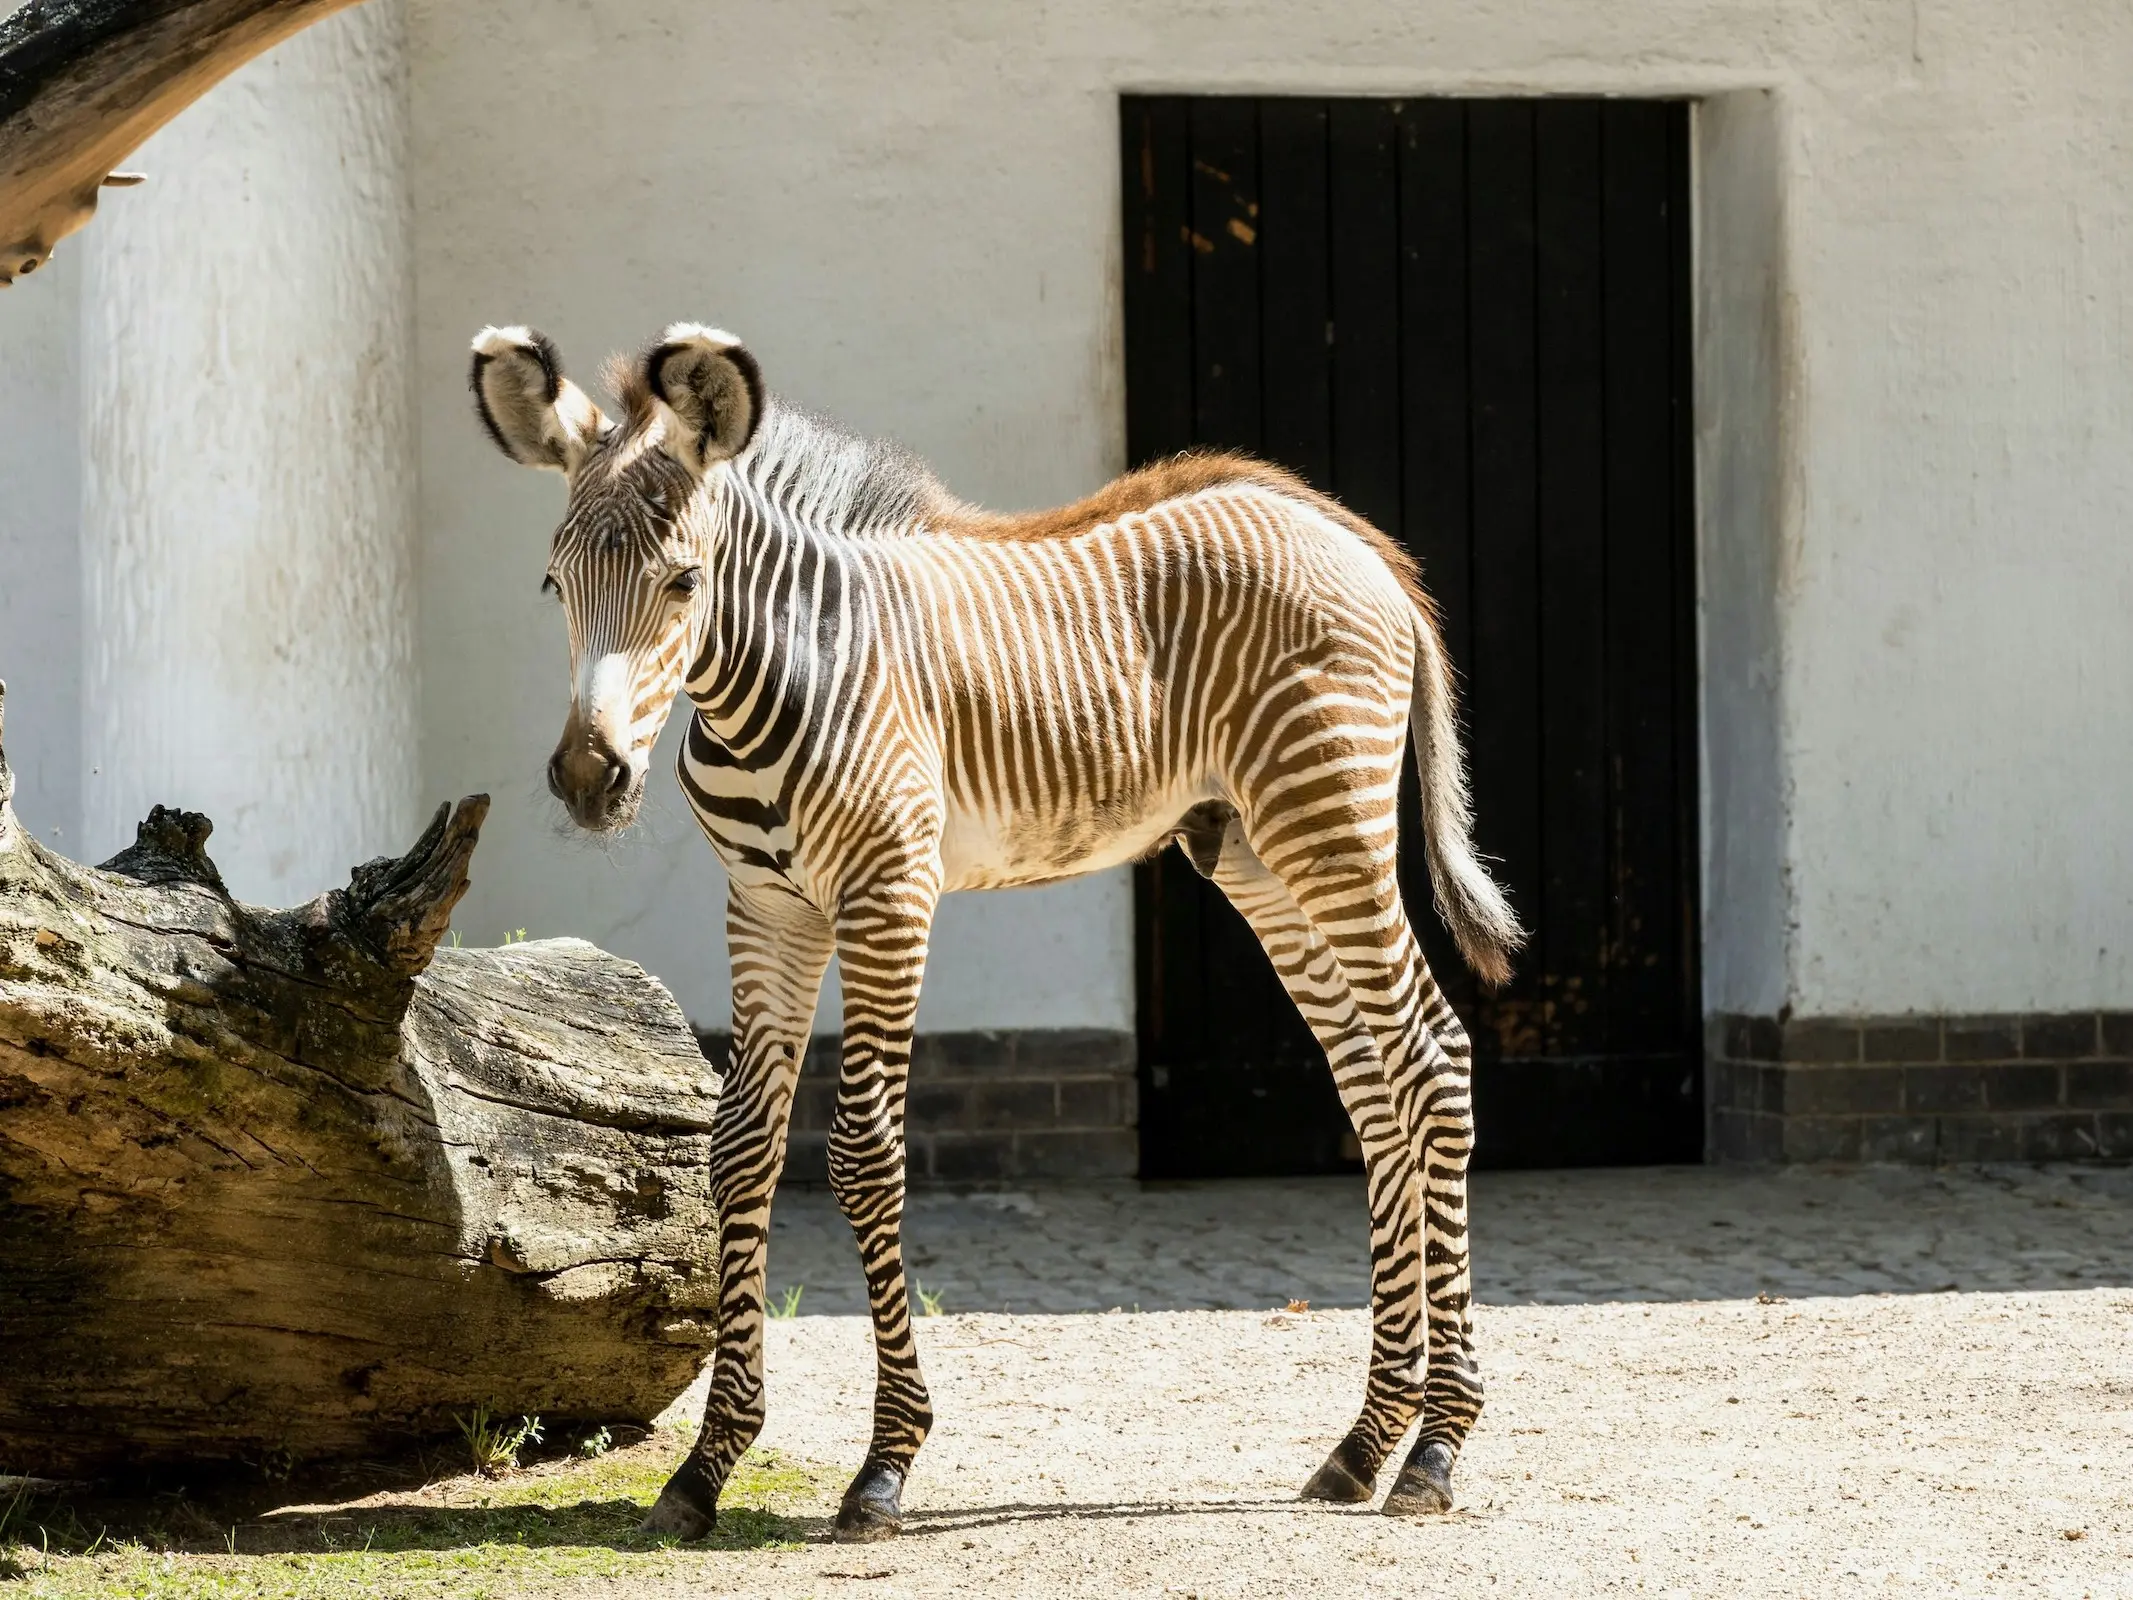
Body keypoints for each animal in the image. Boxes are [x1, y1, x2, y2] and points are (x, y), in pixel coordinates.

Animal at [475, 322, 1527, 1544]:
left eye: (683, 582)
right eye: (553, 583)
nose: (589, 780)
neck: (777, 673)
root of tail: (1350, 536)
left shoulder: (889, 893)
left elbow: (862, 1150)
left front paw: (885, 1465)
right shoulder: (768, 907)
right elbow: (739, 1150)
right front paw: (705, 1469)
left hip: (1328, 824)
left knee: (1430, 1059)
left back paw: (1438, 1447)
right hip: (1255, 854)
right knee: (1372, 1082)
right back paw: (1365, 1442)